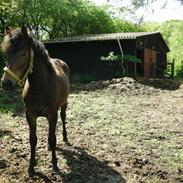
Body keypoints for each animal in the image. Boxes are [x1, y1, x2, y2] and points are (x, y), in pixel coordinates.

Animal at [0, 25, 70, 176]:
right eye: (6, 54)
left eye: (23, 53)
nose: (6, 83)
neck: (40, 86)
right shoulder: (30, 115)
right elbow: (33, 140)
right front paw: (31, 167)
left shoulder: (52, 114)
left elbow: (52, 138)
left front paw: (55, 166)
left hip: (64, 104)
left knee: (63, 117)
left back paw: (65, 138)